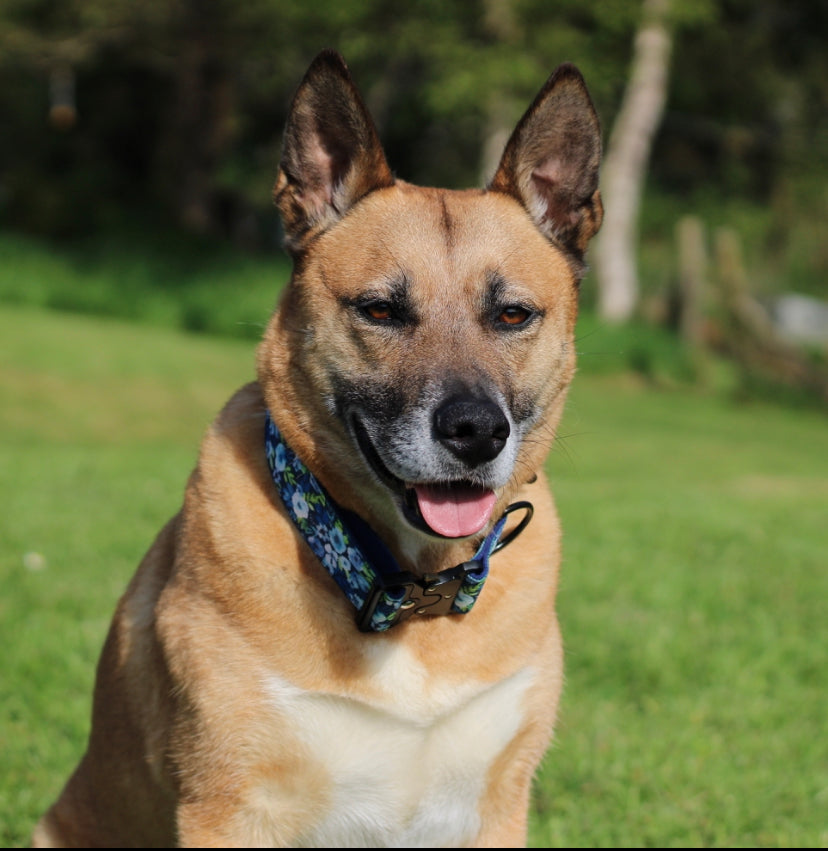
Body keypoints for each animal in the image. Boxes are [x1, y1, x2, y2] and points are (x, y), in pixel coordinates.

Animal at [32, 50, 600, 848]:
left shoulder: (494, 809)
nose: (477, 432)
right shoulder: (228, 808)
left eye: (514, 314)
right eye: (381, 310)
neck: (411, 590)